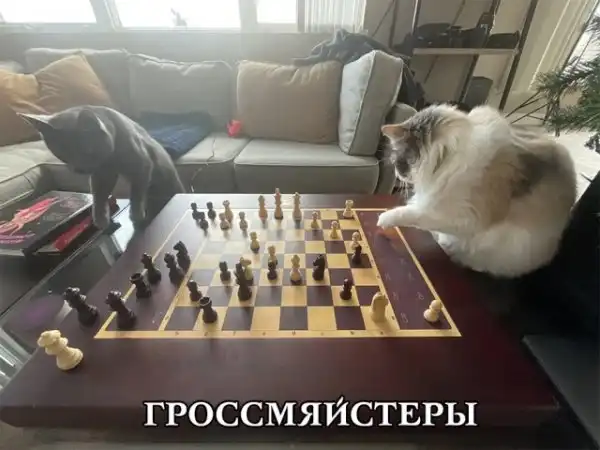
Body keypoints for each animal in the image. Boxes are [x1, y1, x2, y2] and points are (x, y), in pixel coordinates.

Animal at [20, 105, 185, 228]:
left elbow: (137, 191)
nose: (78, 169)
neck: (110, 159)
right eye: (62, 154)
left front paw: (136, 214)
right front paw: (101, 220)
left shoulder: (142, 164)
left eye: (86, 151)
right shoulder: (101, 174)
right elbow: (98, 195)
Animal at [378, 103, 577, 278]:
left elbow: (415, 215)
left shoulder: (467, 217)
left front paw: (384, 219)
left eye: (398, 161)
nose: (397, 173)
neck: (449, 156)